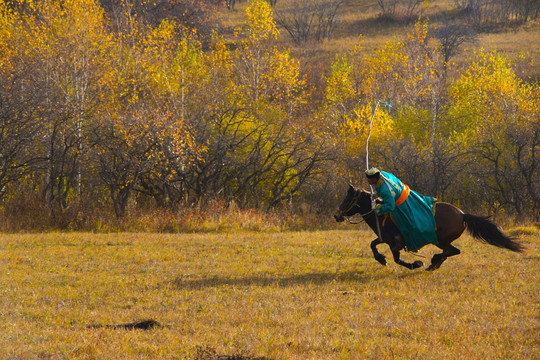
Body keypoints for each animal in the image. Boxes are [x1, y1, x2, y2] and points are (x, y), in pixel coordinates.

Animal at [334, 186, 524, 270]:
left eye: (347, 199)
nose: (337, 215)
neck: (381, 214)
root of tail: (462, 214)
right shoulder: (385, 239)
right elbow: (373, 245)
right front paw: (381, 259)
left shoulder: (395, 243)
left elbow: (397, 259)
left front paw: (416, 263)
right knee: (451, 251)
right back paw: (435, 263)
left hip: (440, 240)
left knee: (453, 250)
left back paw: (433, 261)